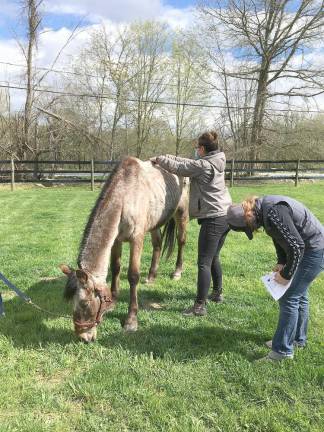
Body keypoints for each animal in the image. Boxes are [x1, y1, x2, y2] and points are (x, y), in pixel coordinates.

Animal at [60, 157, 190, 342]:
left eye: (85, 303)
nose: (83, 337)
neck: (125, 198)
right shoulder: (116, 241)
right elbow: (116, 268)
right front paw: (112, 301)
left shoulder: (136, 240)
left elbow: (133, 276)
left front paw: (131, 320)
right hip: (154, 224)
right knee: (157, 244)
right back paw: (151, 276)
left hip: (182, 213)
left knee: (181, 241)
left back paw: (177, 272)